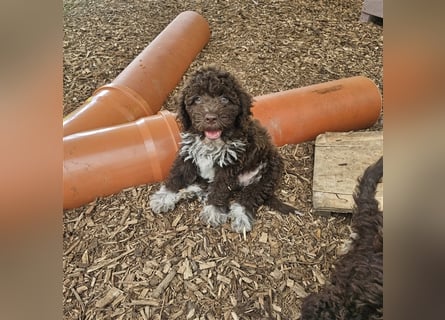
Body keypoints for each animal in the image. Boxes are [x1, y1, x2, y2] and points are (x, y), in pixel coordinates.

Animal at [148, 66, 298, 234]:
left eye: (225, 99)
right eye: (197, 99)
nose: (211, 118)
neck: (211, 142)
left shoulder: (230, 164)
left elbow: (220, 188)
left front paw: (214, 211)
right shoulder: (188, 153)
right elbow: (177, 175)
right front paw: (164, 196)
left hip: (268, 174)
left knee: (249, 197)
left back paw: (240, 217)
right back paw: (188, 192)